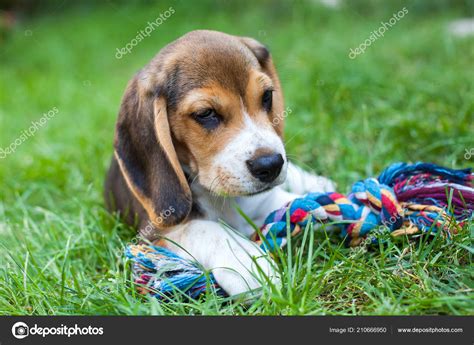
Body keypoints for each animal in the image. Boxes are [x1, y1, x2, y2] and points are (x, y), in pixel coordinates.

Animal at [104, 29, 334, 294]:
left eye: (267, 96)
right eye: (205, 113)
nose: (270, 165)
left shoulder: (264, 200)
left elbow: (286, 201)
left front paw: (321, 206)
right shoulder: (152, 231)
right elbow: (204, 228)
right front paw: (244, 259)